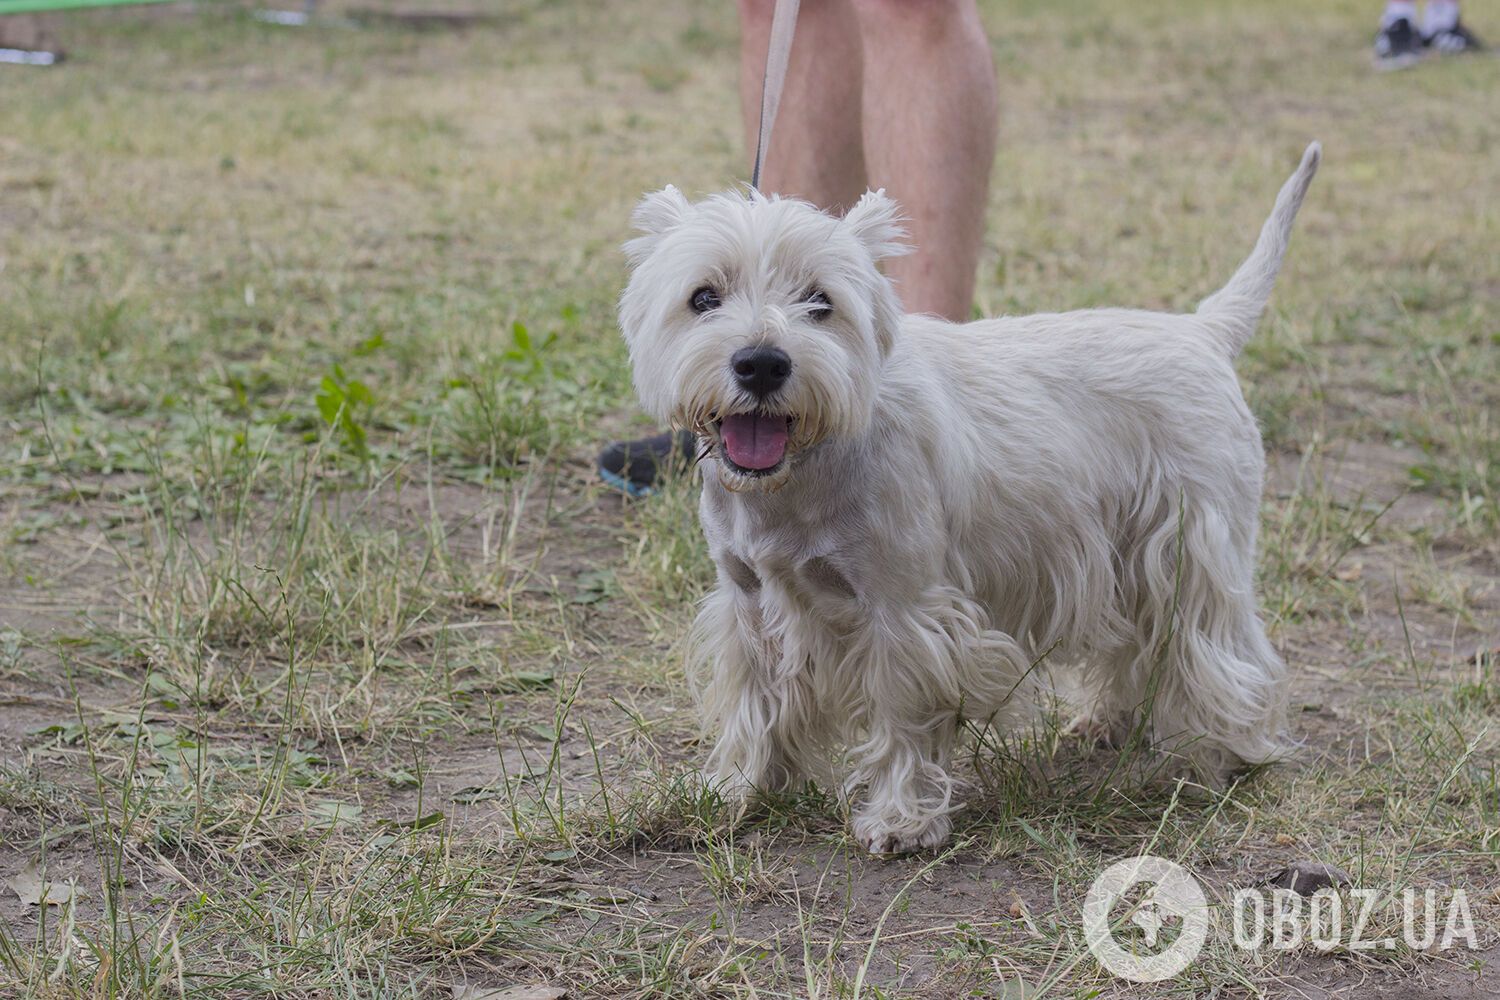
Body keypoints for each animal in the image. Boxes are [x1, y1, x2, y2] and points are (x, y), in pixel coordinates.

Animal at [615, 144, 1320, 857]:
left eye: (820, 302)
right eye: (703, 297)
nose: (761, 363)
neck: (798, 477)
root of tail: (1204, 331)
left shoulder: (903, 609)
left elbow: (901, 708)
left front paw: (899, 819)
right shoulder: (749, 600)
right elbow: (753, 702)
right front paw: (739, 791)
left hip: (1190, 544)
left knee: (1220, 648)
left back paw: (1220, 754)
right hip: (1124, 554)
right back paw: (1110, 722)